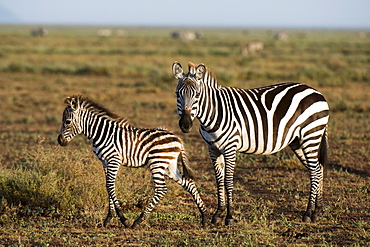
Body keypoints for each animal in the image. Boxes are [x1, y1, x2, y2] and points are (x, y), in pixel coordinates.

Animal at [58, 94, 208, 228]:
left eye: (67, 122)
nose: (60, 141)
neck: (102, 134)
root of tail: (178, 139)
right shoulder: (105, 162)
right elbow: (108, 186)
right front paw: (108, 219)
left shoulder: (114, 159)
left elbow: (110, 186)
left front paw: (123, 219)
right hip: (169, 166)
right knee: (189, 183)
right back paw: (204, 217)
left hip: (157, 163)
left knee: (161, 189)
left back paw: (138, 221)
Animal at [173, 61, 330, 226]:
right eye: (177, 94)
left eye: (197, 95)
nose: (185, 124)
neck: (214, 113)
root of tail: (316, 92)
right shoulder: (213, 149)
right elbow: (219, 181)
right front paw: (218, 213)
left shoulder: (230, 147)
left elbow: (228, 181)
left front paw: (229, 216)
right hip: (298, 141)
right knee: (318, 169)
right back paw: (317, 210)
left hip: (310, 135)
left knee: (315, 171)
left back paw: (308, 213)